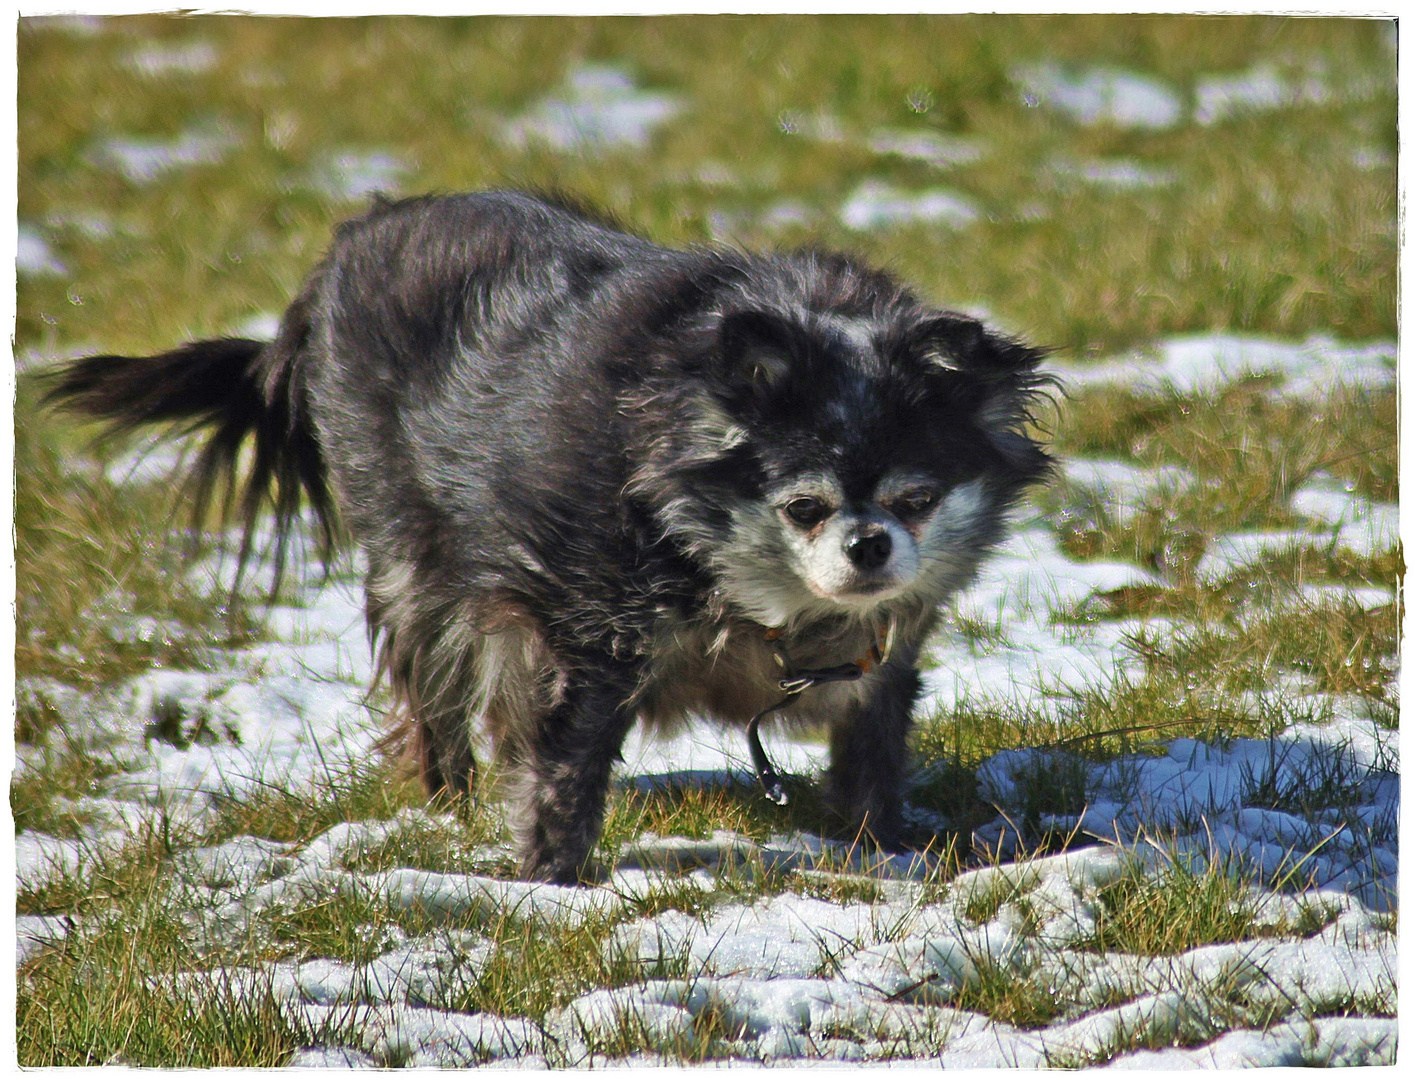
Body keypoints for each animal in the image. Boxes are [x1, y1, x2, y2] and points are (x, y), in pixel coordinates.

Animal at [47, 192, 1052, 887]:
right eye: (804, 506)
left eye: (918, 499)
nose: (869, 545)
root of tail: (351, 244)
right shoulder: (596, 639)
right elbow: (567, 772)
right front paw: (549, 886)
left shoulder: (882, 660)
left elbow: (874, 759)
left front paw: (886, 854)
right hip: (420, 565)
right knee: (437, 692)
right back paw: (448, 805)